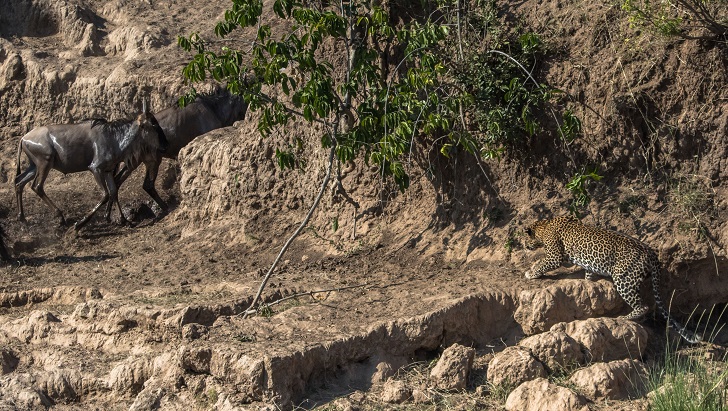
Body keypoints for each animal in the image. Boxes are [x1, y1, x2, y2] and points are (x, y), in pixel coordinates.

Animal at [524, 216, 700, 344]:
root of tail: (650, 252)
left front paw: (530, 273)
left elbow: (542, 264)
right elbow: (588, 273)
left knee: (643, 306)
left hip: (623, 278)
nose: (524, 245)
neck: (544, 226)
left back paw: (624, 318)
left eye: (524, 238)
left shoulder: (555, 256)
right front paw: (588, 282)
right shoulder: (587, 264)